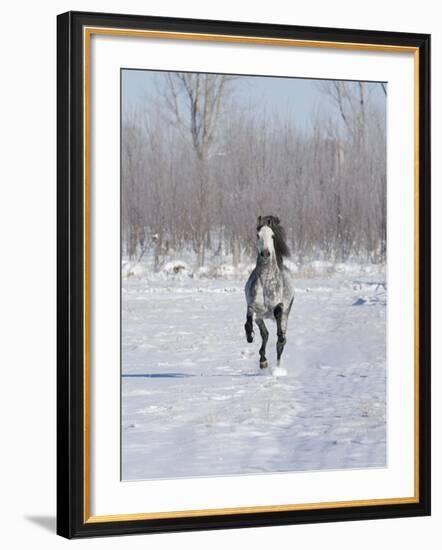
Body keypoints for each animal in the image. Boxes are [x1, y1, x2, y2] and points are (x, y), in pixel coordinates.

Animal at [243, 217, 296, 370]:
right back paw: (263, 361)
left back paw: (277, 367)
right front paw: (249, 336)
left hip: (286, 315)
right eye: (258, 235)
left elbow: (278, 316)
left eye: (272, 236)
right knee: (265, 334)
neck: (265, 281)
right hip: (260, 317)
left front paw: (280, 337)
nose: (265, 253)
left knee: (280, 343)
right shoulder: (253, 307)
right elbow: (248, 321)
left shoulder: (279, 305)